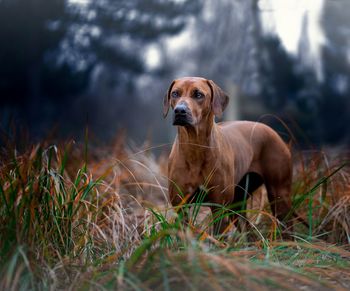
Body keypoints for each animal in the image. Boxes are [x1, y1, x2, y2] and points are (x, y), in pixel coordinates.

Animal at [164, 76, 292, 236]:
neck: (195, 147)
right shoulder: (181, 206)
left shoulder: (219, 207)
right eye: (175, 93)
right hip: (237, 205)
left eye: (198, 94)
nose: (180, 111)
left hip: (279, 195)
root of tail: (270, 130)